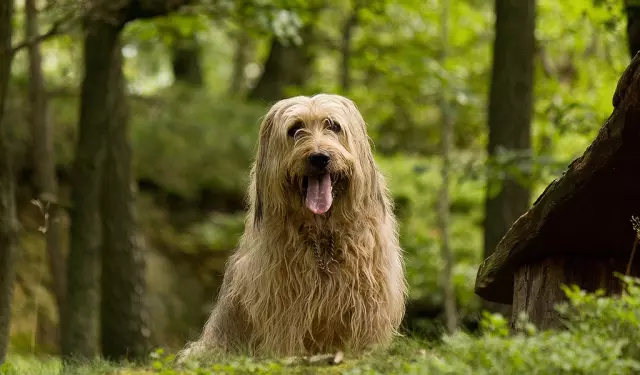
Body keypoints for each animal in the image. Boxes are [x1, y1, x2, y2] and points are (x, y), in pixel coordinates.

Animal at [178, 93, 408, 362]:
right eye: (295, 129)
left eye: (333, 126)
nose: (319, 158)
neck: (322, 236)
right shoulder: (283, 301)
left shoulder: (369, 298)